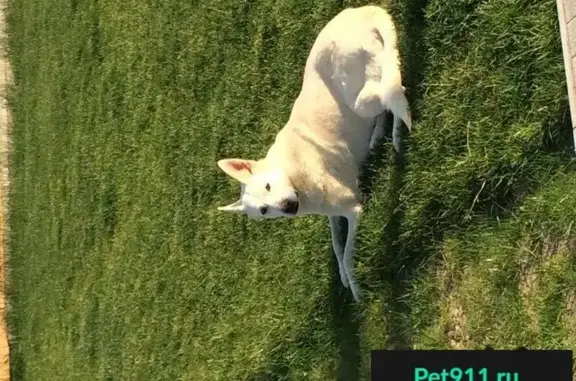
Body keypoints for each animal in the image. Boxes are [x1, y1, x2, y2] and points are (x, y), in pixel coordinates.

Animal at [215, 5, 410, 300]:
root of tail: (360, 13)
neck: (293, 173)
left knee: (395, 92)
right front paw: (344, 278)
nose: (287, 207)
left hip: (363, 100)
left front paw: (355, 289)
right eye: (263, 211)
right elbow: (337, 247)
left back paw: (396, 132)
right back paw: (378, 136)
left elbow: (348, 254)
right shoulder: (332, 213)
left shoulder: (353, 209)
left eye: (269, 186)